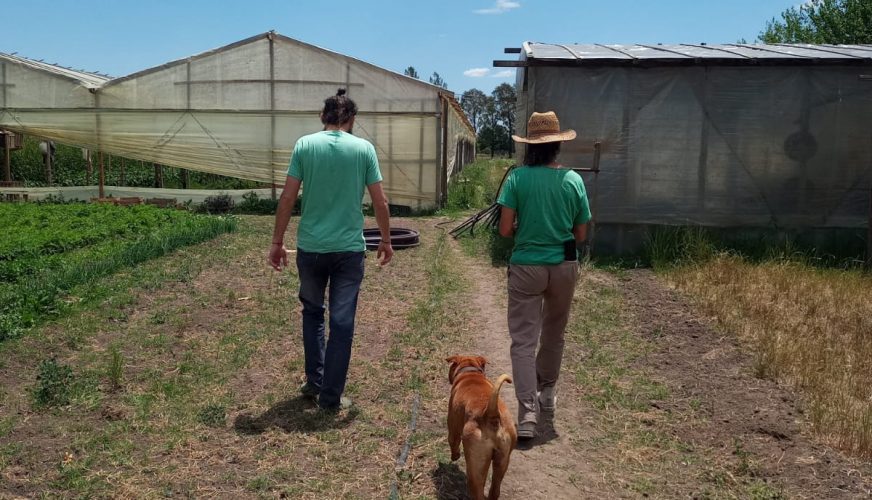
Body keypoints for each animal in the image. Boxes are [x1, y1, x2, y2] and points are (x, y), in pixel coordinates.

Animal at [446, 356, 516, 500]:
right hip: (503, 461)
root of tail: (491, 415)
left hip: (476, 465)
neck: (470, 372)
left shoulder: (453, 426)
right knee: (495, 490)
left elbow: (453, 442)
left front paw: (455, 456)